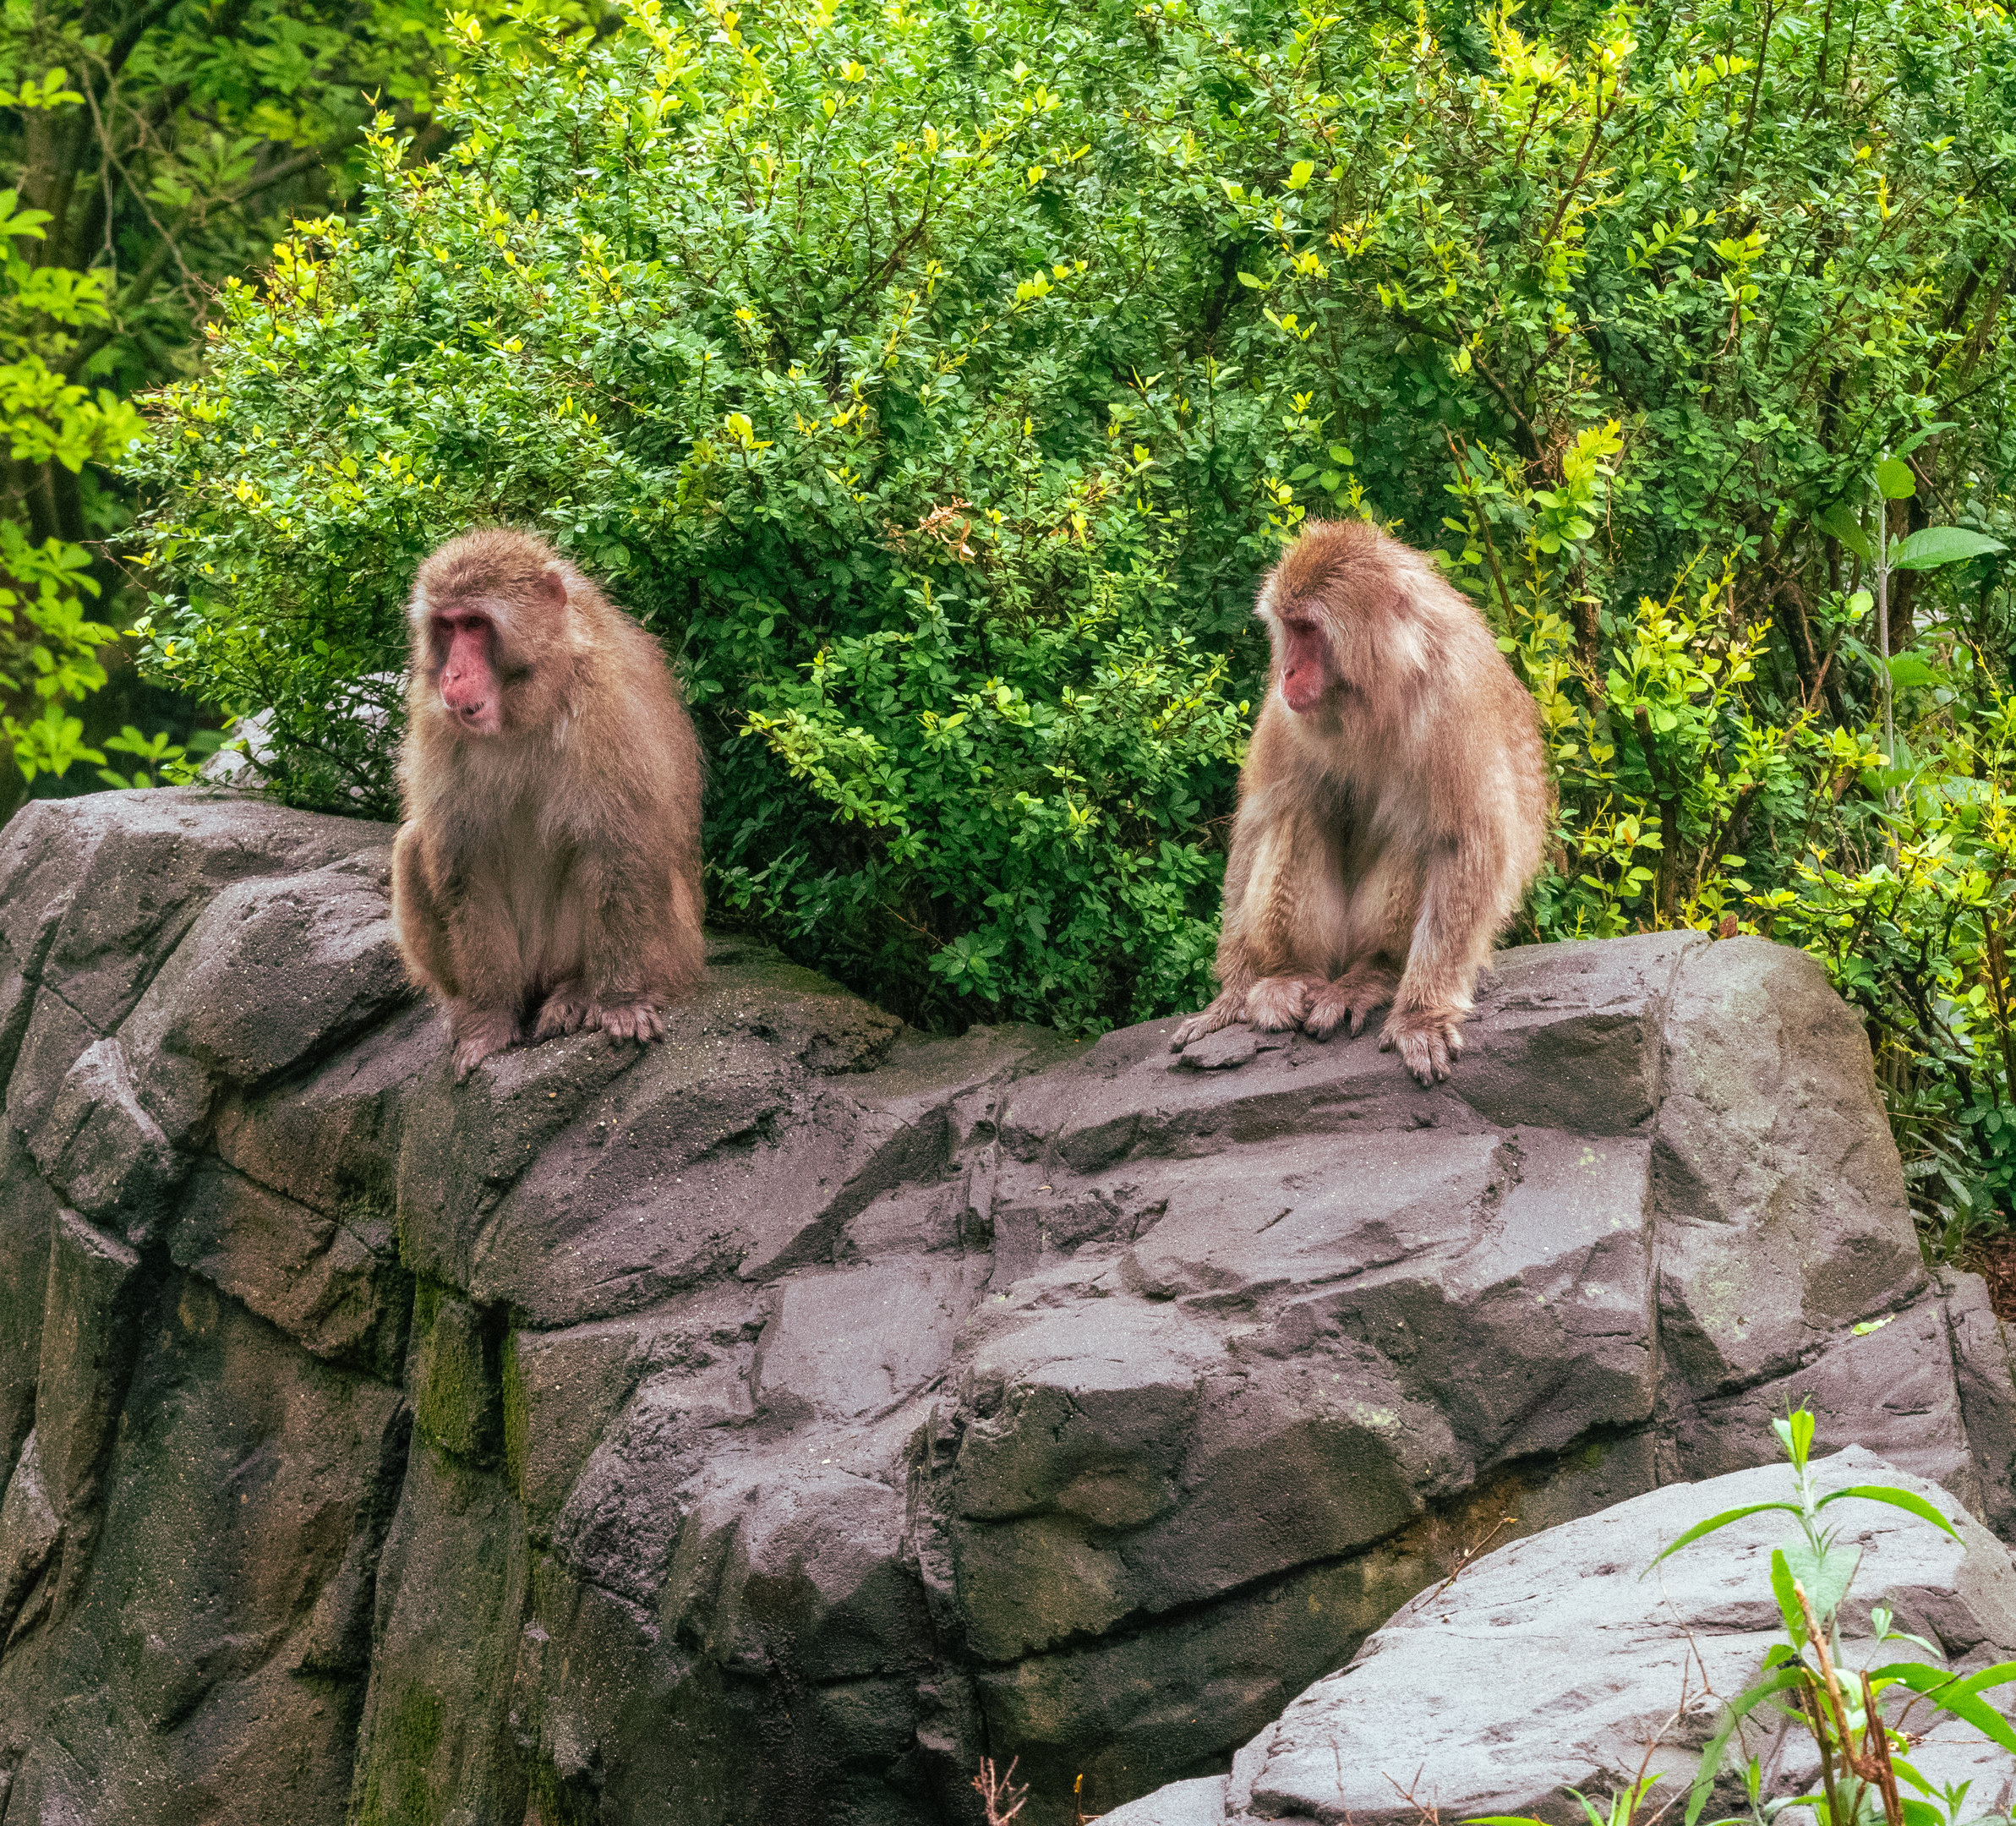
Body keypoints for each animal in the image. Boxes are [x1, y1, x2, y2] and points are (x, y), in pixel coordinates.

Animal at [391, 528, 706, 1081]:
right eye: (447, 627)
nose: (452, 676)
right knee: (414, 845)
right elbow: (461, 859)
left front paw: (620, 1002)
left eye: (475, 624)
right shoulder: (435, 721)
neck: (525, 708)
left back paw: (576, 991)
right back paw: (470, 1005)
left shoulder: (605, 706)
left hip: (673, 950)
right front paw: (488, 1019)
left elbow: (619, 844)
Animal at [1170, 518, 1549, 1085]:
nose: (1286, 673)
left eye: (1310, 631)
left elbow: (1467, 842)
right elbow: (1260, 819)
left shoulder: (1456, 696)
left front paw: (1420, 1015)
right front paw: (1230, 998)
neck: (1375, 694)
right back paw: (1292, 974)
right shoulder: (1285, 711)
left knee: (1420, 832)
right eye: (1289, 629)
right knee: (1297, 810)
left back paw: (1373, 975)